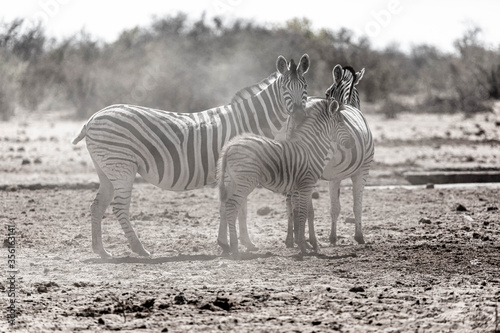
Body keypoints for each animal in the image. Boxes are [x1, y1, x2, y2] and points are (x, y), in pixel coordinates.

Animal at [72, 53, 310, 256]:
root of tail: (93, 117)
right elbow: (236, 205)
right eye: (285, 88)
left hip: (106, 169)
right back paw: (139, 248)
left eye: (305, 86)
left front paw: (236, 243)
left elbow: (234, 205)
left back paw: (100, 250)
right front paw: (237, 243)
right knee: (119, 208)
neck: (251, 121)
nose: (299, 115)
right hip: (122, 167)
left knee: (97, 205)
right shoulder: (240, 168)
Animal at [217, 97, 354, 253]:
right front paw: (303, 246)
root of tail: (230, 145)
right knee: (232, 205)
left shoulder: (302, 185)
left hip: (232, 181)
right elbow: (303, 213)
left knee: (226, 205)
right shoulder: (307, 183)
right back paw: (234, 247)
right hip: (246, 180)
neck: (311, 148)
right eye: (341, 123)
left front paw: (307, 243)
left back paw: (229, 246)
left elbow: (304, 212)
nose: (352, 143)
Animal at [284, 63, 374, 248]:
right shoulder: (362, 170)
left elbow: (335, 208)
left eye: (326, 93)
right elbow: (356, 205)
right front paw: (358, 236)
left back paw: (292, 239)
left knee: (291, 201)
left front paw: (332, 237)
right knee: (302, 203)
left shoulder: (334, 176)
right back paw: (308, 240)